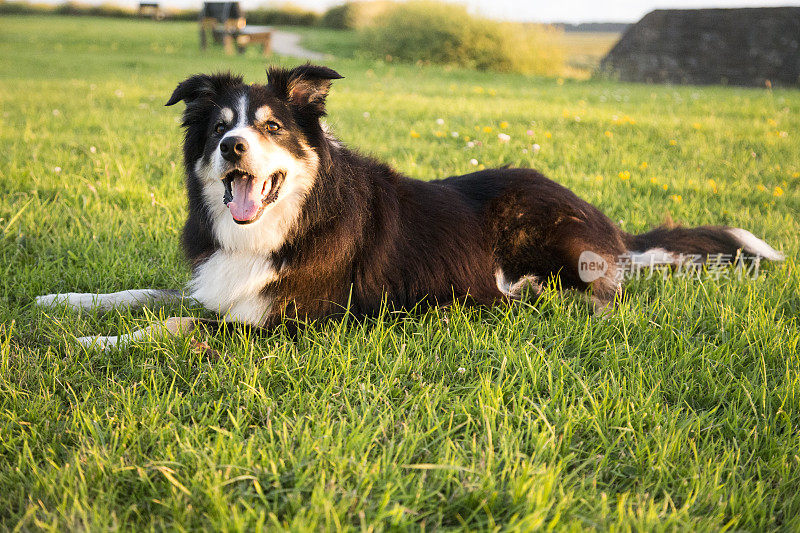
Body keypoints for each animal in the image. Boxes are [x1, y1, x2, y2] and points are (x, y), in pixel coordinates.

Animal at [36, 64, 780, 348]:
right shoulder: (221, 281)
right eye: (219, 124)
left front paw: (92, 343)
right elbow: (147, 293)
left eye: (271, 126)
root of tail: (609, 225)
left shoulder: (299, 321)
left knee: (595, 291)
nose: (232, 147)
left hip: (541, 232)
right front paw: (63, 304)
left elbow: (179, 324)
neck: (290, 219)